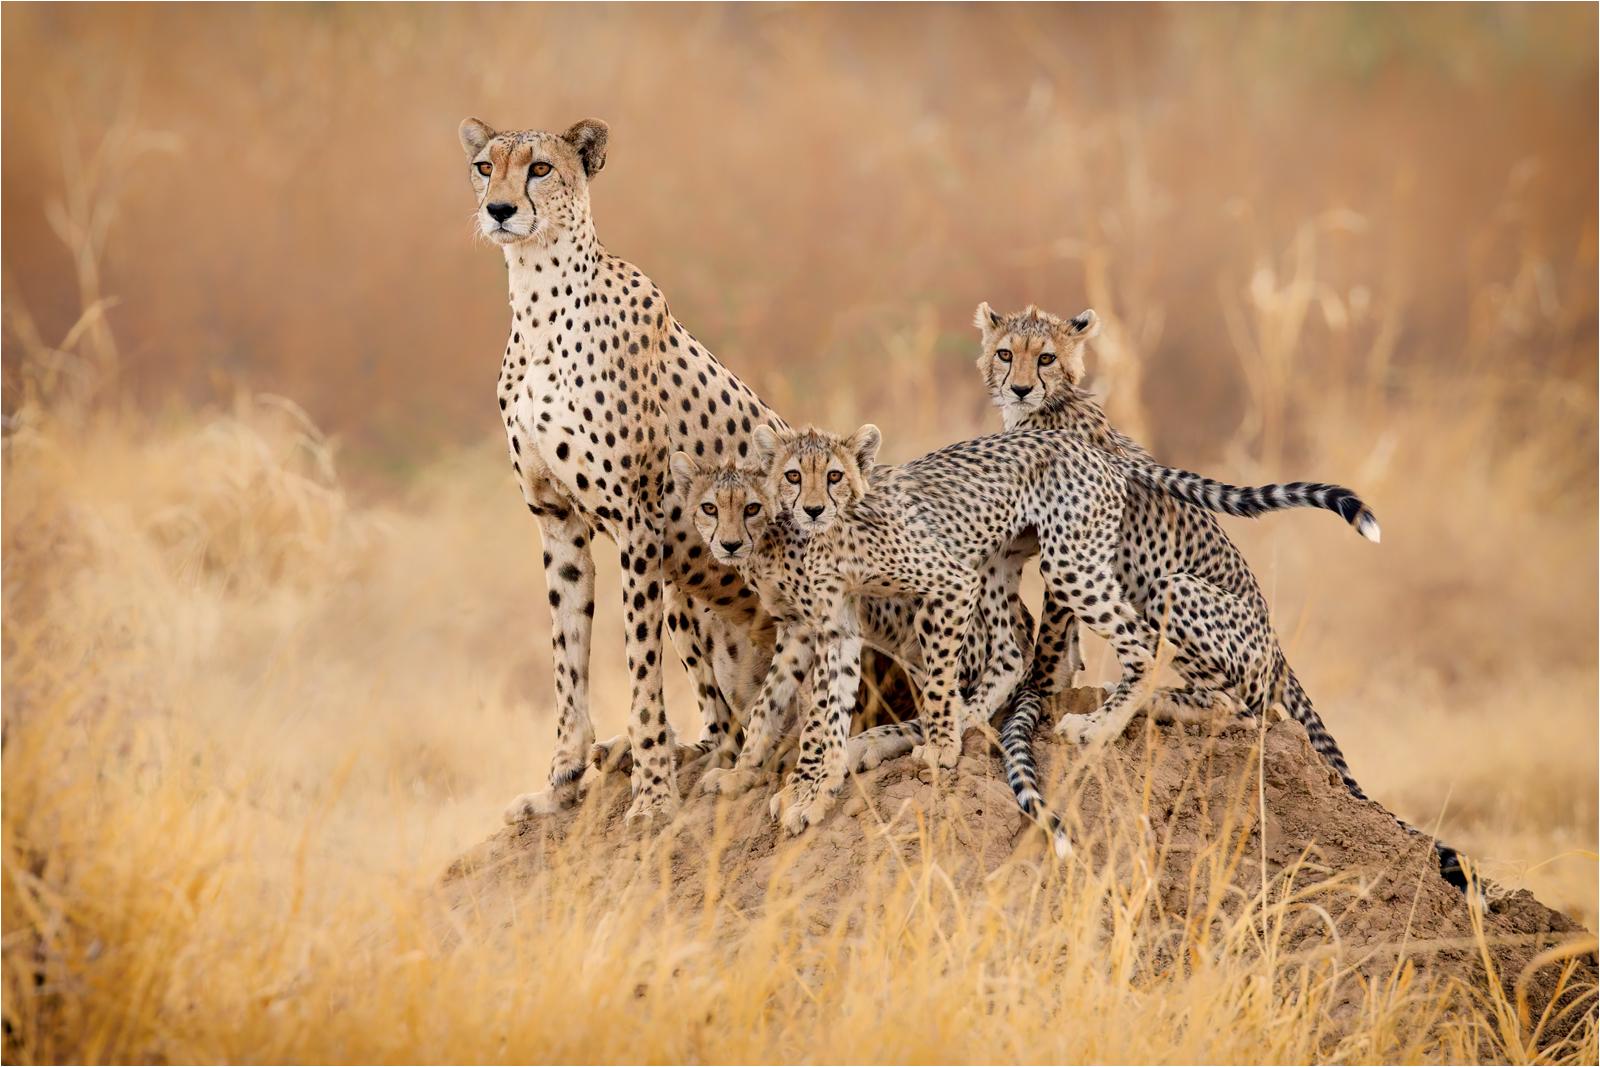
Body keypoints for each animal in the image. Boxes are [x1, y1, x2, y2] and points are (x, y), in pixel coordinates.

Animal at [972, 301, 1466, 888]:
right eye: (1006, 353)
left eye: (1045, 357)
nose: (1022, 387)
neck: (1054, 404)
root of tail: (1276, 648)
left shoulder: (1068, 543)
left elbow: (1050, 640)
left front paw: (1041, 691)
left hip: (1176, 589)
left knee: (1236, 708)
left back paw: (1120, 716)